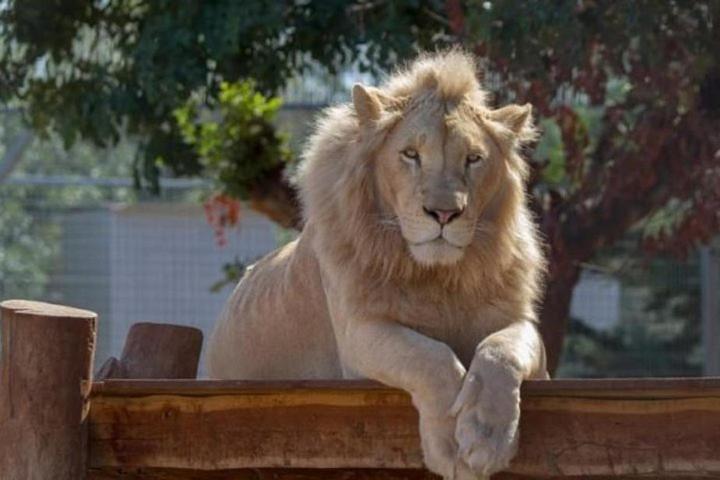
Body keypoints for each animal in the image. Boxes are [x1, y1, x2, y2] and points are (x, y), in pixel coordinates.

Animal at [205, 50, 548, 478]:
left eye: (473, 159)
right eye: (410, 154)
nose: (444, 213)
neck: (438, 275)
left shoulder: (520, 326)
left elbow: (501, 349)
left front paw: (487, 435)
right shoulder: (359, 332)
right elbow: (431, 356)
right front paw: (451, 443)